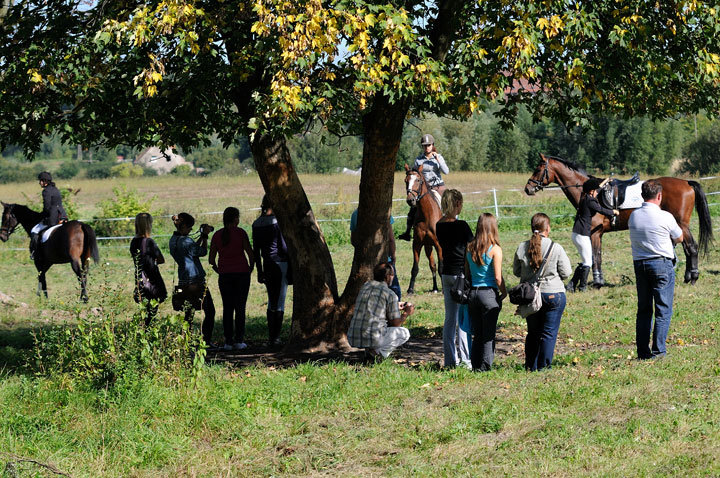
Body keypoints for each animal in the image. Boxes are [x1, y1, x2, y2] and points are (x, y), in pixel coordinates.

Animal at [402, 162, 442, 294]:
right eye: (406, 180)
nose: (411, 200)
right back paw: (435, 288)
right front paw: (410, 289)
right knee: (432, 265)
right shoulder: (417, 243)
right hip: (428, 246)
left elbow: (442, 267)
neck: (427, 215)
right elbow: (415, 268)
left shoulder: (439, 244)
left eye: (418, 180)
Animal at [524, 155, 712, 286]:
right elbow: (597, 256)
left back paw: (693, 277)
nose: (528, 188)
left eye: (538, 169)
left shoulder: (594, 233)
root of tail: (686, 183)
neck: (590, 193)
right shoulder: (598, 234)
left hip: (681, 225)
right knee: (688, 249)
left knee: (691, 248)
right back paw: (689, 276)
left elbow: (595, 257)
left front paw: (597, 282)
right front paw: (598, 281)